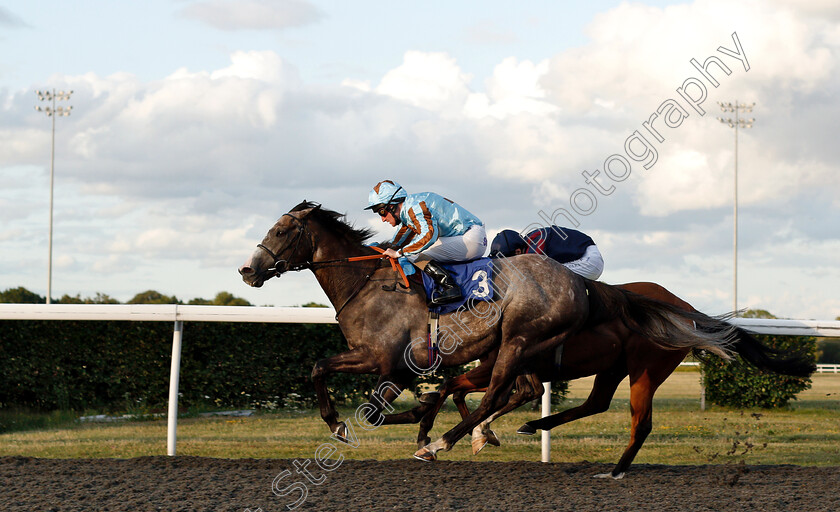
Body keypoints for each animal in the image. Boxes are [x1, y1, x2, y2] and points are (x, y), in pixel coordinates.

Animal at [240, 202, 740, 458]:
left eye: (282, 230)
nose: (248, 270)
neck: (367, 283)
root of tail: (580, 285)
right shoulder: (396, 366)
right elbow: (344, 382)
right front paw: (403, 419)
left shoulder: (385, 361)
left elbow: (329, 375)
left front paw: (341, 424)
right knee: (513, 394)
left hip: (522, 342)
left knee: (500, 394)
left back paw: (445, 442)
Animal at [394, 280, 812, 476]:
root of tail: (685, 308)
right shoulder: (505, 368)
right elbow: (465, 393)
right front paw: (477, 434)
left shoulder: (500, 366)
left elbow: (456, 388)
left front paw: (435, 438)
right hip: (614, 366)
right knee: (597, 403)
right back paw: (535, 425)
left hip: (646, 369)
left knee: (640, 423)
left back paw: (615, 472)